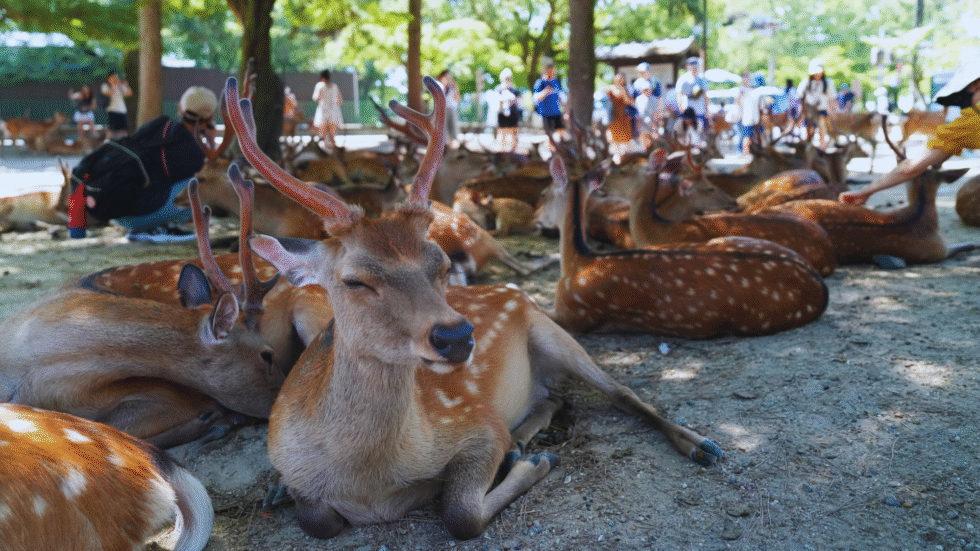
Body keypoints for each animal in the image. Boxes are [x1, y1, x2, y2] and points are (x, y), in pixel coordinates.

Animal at [225, 74, 723, 541]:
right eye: (354, 280)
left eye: (443, 264)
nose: (456, 336)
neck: (370, 483)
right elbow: (317, 518)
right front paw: (280, 490)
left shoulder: (478, 423)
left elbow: (460, 512)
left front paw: (533, 464)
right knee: (555, 397)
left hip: (552, 331)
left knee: (622, 394)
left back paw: (700, 445)